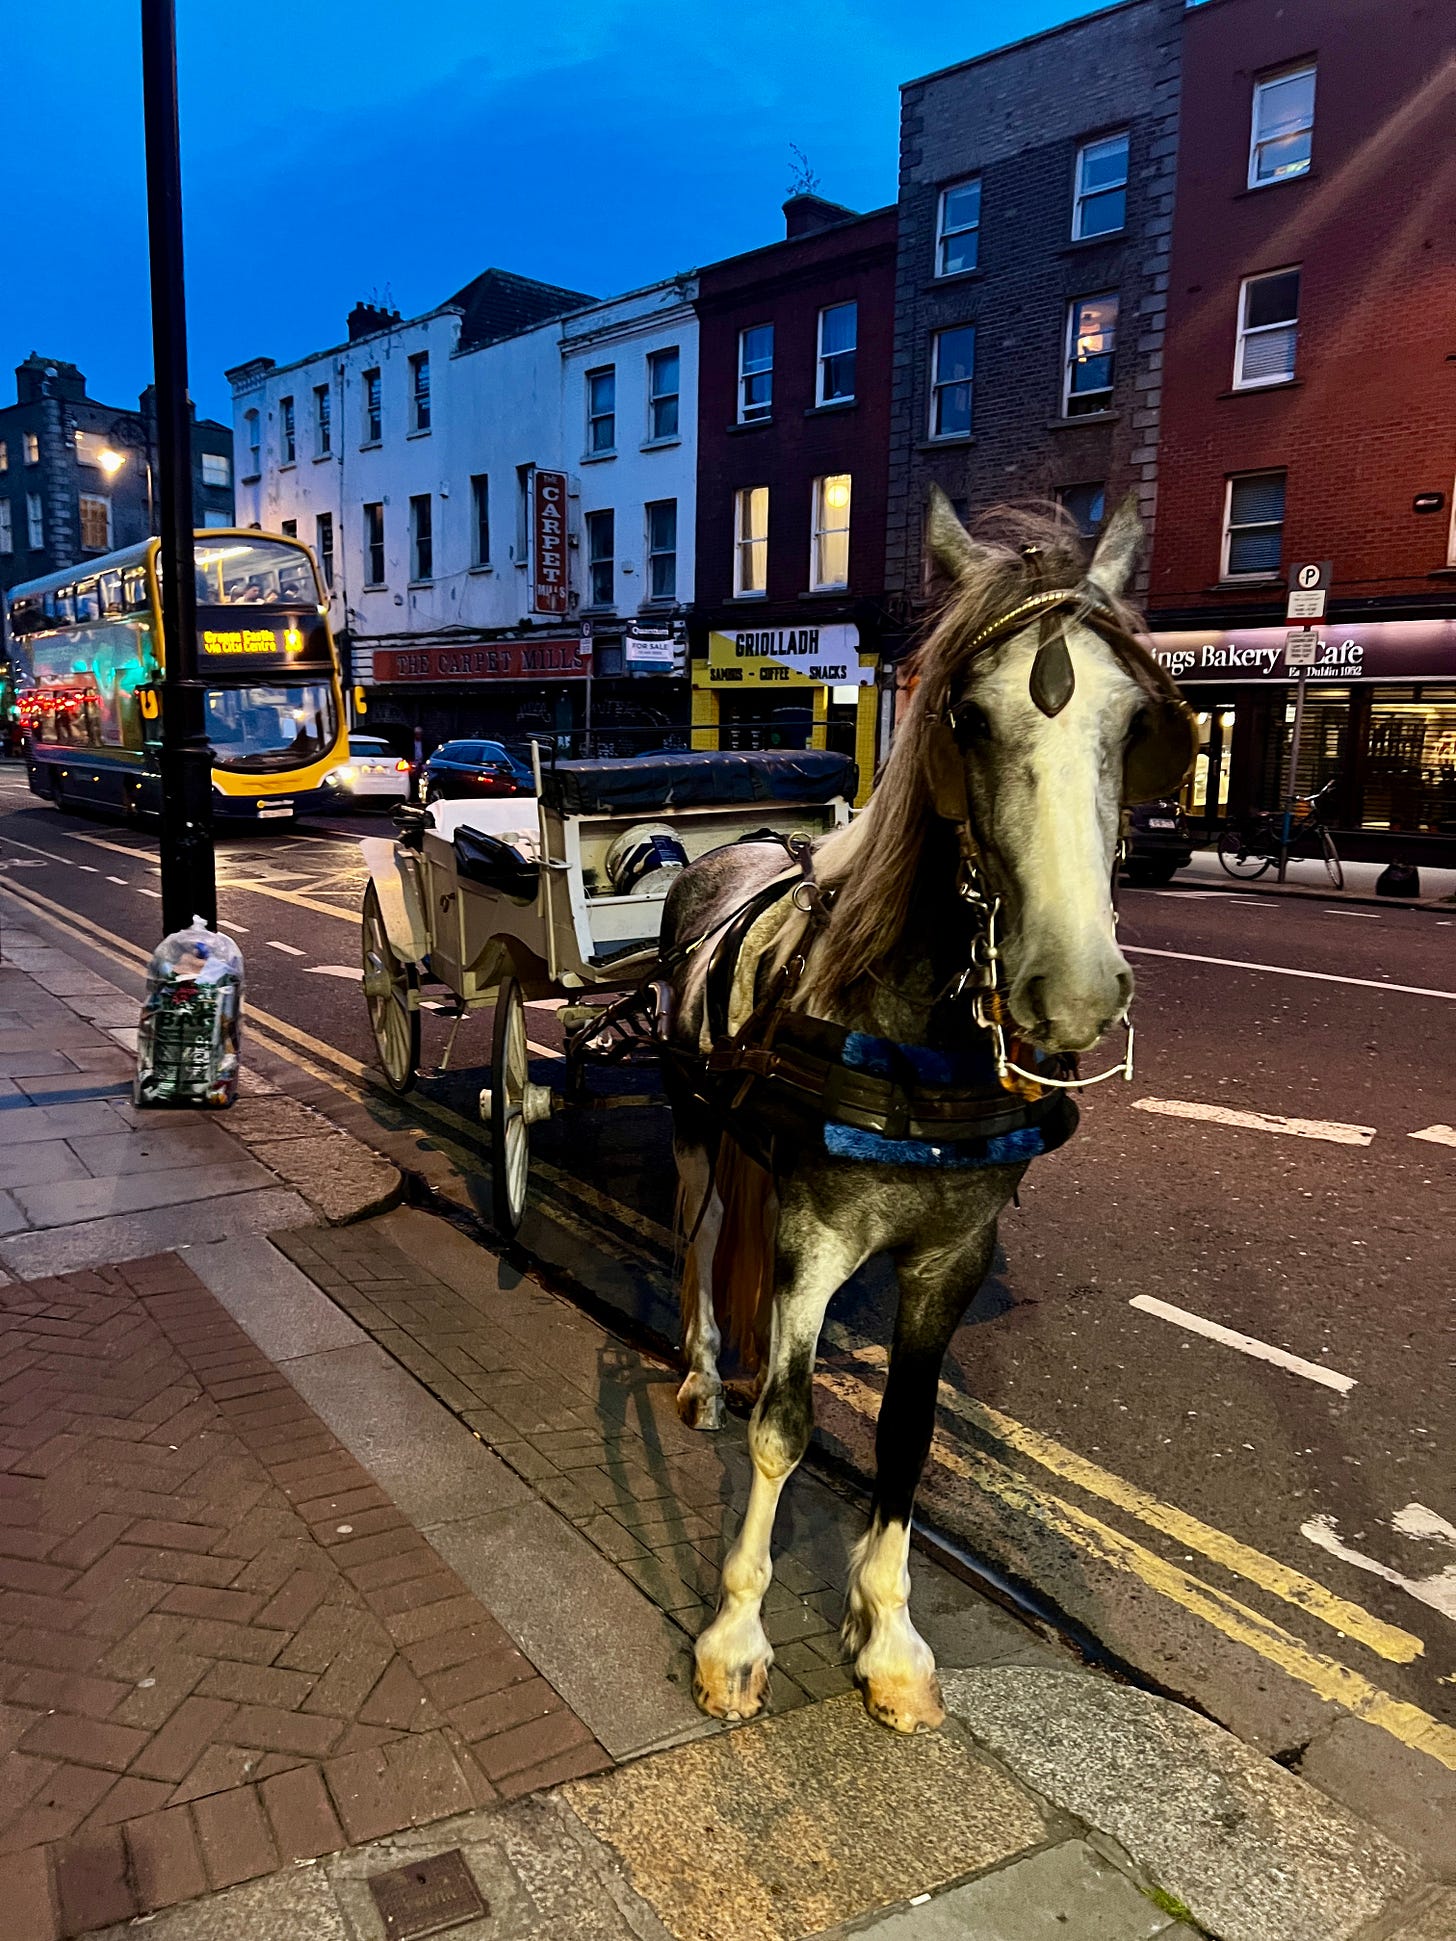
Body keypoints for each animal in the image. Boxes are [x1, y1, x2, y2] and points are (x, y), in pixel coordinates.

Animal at [657, 489, 1196, 1734]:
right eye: (966, 718)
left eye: (1136, 723)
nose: (1075, 990)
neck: (915, 1026)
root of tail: (729, 848)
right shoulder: (811, 1237)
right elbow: (786, 1426)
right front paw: (735, 1635)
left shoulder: (952, 1253)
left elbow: (906, 1435)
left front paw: (888, 1636)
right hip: (700, 1130)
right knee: (701, 1244)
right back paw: (702, 1375)